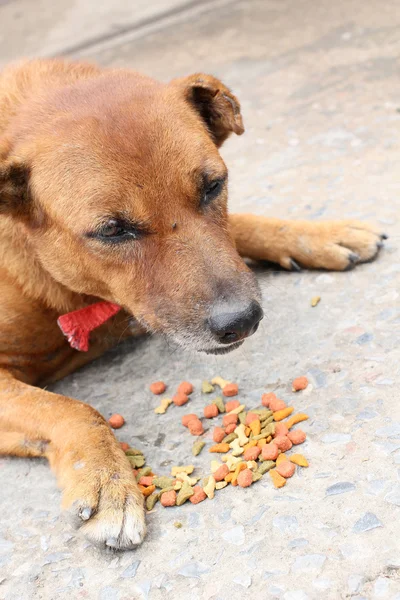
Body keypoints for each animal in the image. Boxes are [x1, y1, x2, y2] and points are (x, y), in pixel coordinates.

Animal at [0, 58, 384, 552]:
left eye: (213, 186)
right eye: (112, 230)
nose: (242, 321)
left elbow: (244, 224)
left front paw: (316, 233)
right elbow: (74, 410)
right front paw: (106, 480)